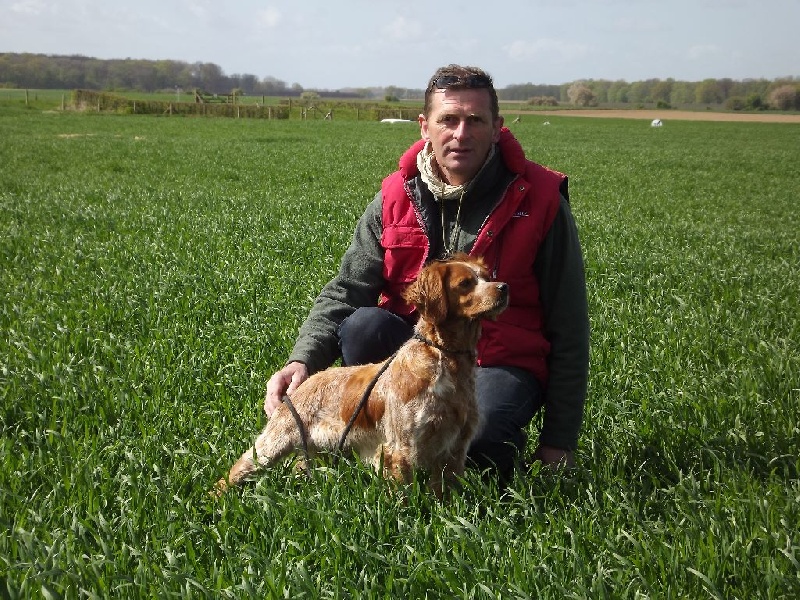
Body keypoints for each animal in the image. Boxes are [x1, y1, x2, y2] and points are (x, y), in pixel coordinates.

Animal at [213, 255, 508, 498]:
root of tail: (304, 383)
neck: (446, 359)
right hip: (272, 444)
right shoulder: (401, 447)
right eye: (466, 283)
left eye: (488, 276)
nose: (504, 287)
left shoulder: (456, 448)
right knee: (235, 470)